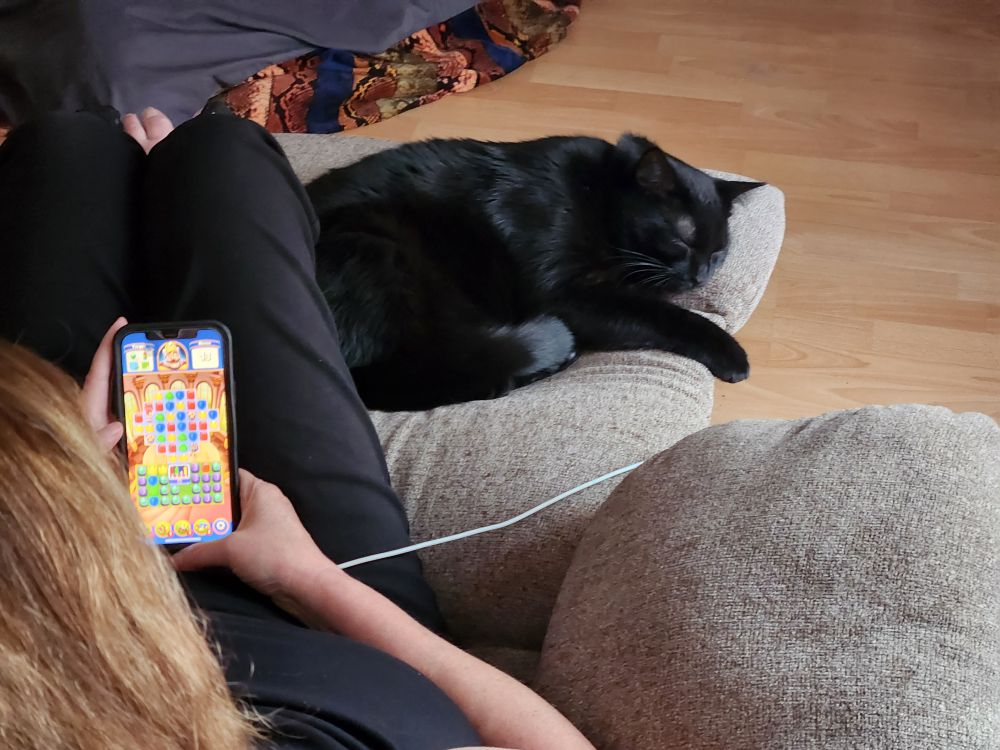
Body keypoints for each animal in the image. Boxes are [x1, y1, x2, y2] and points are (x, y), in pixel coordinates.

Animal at [306, 133, 763, 411]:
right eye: (682, 240)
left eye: (719, 253)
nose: (700, 275)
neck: (596, 199)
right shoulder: (562, 294)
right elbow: (663, 315)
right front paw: (730, 354)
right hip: (382, 249)